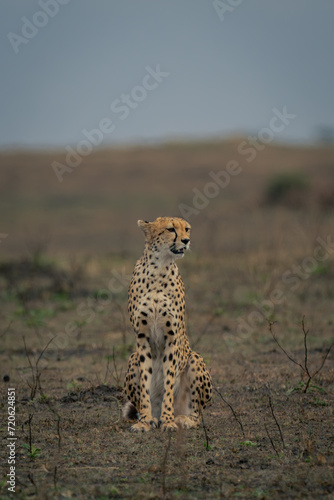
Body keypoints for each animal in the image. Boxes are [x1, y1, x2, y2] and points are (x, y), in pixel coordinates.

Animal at [124, 217, 213, 432]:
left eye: (187, 229)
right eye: (171, 229)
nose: (186, 240)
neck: (159, 269)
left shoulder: (171, 337)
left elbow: (169, 381)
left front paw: (169, 420)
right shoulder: (142, 338)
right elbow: (145, 383)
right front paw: (144, 421)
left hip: (194, 358)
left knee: (197, 412)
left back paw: (182, 419)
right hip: (132, 359)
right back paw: (153, 418)